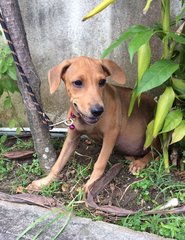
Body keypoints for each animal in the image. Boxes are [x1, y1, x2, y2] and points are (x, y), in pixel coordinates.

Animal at [27, 55, 158, 191]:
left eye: (102, 82)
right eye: (77, 82)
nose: (98, 111)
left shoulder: (111, 134)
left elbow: (100, 163)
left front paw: (91, 184)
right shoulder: (72, 137)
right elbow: (58, 163)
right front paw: (44, 182)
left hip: (154, 128)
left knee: (157, 153)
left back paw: (139, 163)